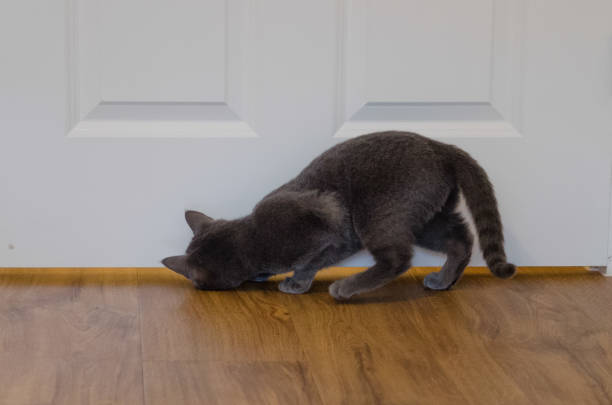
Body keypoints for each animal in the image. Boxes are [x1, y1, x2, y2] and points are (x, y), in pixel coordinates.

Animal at [164, 131, 516, 298]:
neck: (250, 238)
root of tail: (443, 147)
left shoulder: (328, 220)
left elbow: (312, 260)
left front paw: (296, 283)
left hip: (378, 215)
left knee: (397, 259)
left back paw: (345, 288)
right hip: (428, 219)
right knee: (461, 239)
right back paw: (443, 280)